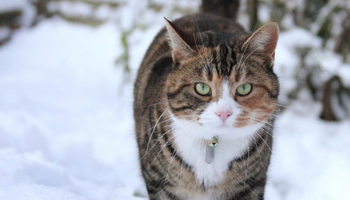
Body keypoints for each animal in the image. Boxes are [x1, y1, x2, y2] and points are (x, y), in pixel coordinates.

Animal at [133, 0, 280, 198]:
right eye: (202, 88)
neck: (212, 146)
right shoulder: (160, 183)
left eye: (244, 88)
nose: (224, 113)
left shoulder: (250, 185)